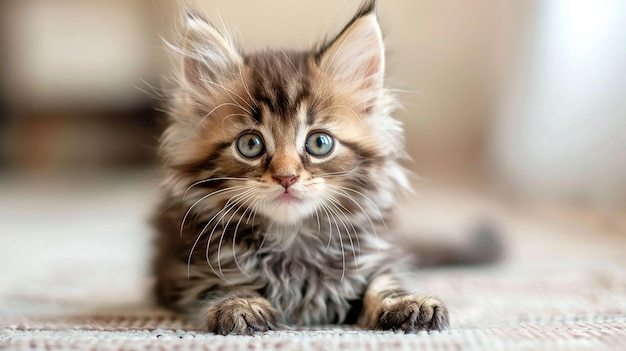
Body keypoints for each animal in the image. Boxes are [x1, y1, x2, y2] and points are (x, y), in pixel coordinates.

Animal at [155, 0, 448, 336]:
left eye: (319, 143)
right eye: (250, 144)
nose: (287, 177)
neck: (291, 237)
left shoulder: (372, 258)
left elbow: (384, 282)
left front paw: (407, 302)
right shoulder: (187, 272)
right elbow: (220, 286)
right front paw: (241, 305)